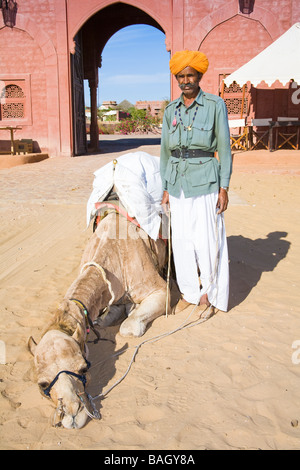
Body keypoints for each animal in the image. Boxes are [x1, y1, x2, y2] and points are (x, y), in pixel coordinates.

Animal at [28, 210, 173, 430]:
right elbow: (103, 319)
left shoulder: (160, 291)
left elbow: (128, 326)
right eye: (42, 384)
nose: (72, 414)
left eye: (83, 368)